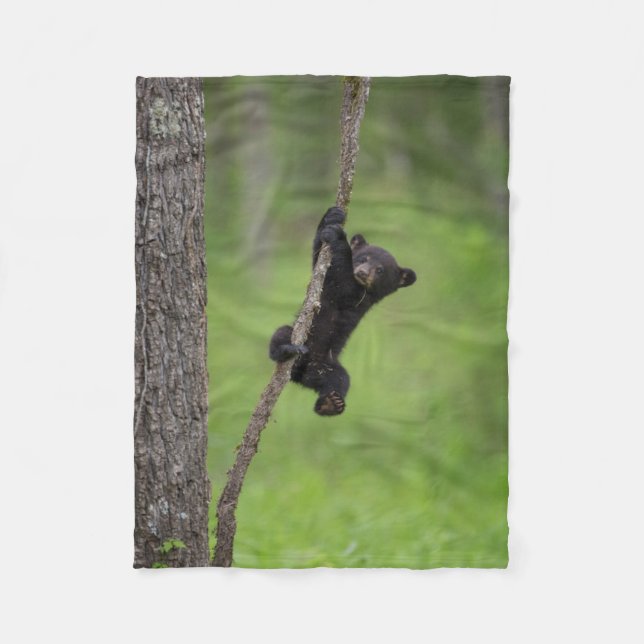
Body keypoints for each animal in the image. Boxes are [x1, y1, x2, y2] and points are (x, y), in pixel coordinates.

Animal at [269, 206, 416, 416]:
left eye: (380, 270)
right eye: (363, 258)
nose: (362, 272)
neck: (362, 286)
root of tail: (302, 374)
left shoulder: (358, 297)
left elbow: (343, 283)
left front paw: (339, 236)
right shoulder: (325, 280)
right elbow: (318, 256)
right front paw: (332, 216)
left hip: (330, 365)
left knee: (341, 380)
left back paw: (330, 403)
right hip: (298, 339)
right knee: (281, 335)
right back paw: (288, 348)